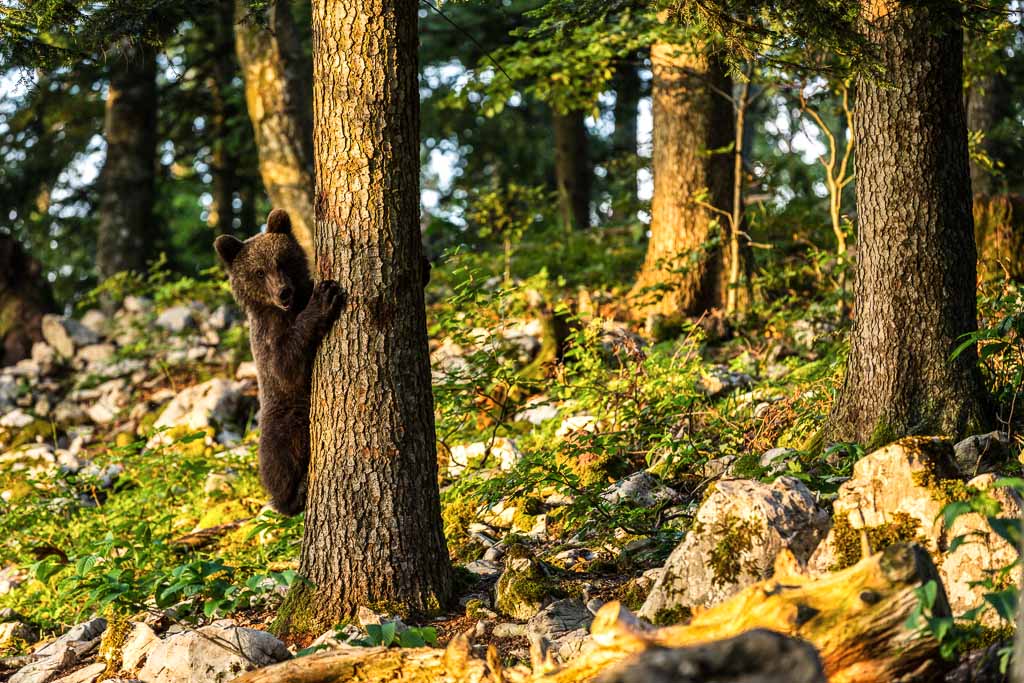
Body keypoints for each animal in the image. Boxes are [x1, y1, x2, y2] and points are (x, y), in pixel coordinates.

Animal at [214, 209, 345, 515]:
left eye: (282, 261)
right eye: (259, 272)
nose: (283, 292)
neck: (288, 309)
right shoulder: (268, 336)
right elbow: (284, 366)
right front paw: (324, 300)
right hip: (283, 417)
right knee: (280, 458)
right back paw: (293, 494)